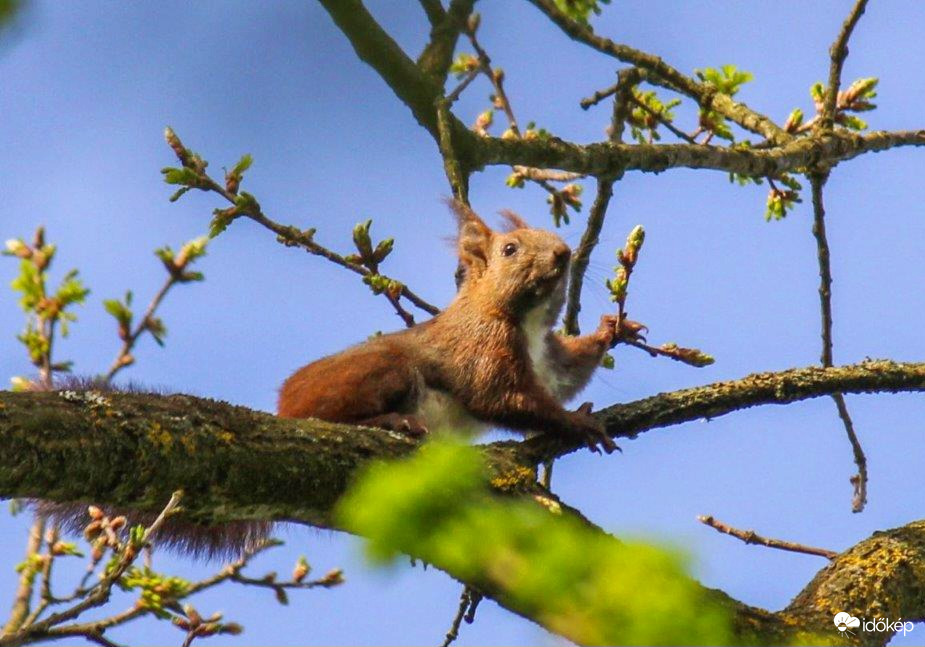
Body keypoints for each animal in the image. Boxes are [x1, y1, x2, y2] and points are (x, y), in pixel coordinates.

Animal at [278, 202, 616, 456]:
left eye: (550, 233)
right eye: (510, 249)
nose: (563, 252)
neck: (527, 322)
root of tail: (284, 409)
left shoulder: (547, 356)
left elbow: (567, 376)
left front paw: (612, 329)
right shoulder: (482, 342)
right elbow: (497, 396)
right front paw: (577, 421)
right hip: (383, 369)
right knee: (333, 418)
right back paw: (393, 421)